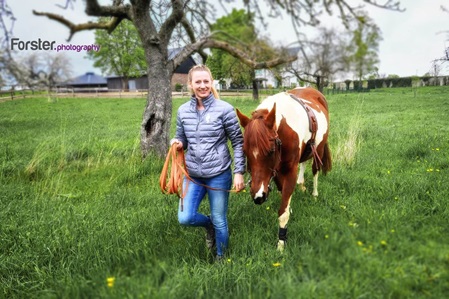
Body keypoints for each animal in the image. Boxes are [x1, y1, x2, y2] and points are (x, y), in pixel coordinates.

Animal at [236, 88, 330, 252]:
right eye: (244, 151)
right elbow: (283, 193)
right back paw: (302, 185)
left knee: (315, 170)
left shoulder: (290, 171)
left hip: (318, 149)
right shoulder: (276, 171)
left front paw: (281, 244)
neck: (284, 130)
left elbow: (283, 212)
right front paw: (289, 207)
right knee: (304, 162)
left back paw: (314, 194)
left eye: (271, 150)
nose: (258, 196)